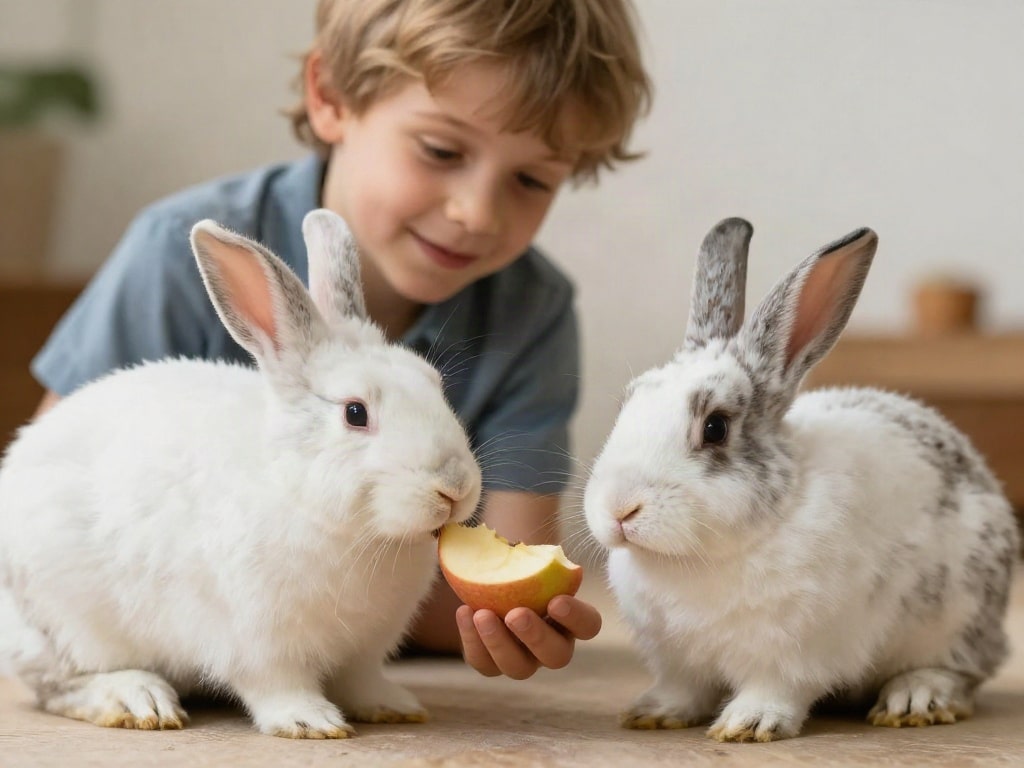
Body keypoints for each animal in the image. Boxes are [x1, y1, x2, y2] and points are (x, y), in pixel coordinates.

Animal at [0, 208, 482, 739]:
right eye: (355, 413)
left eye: (435, 385)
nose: (455, 487)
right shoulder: (258, 640)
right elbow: (277, 684)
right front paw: (310, 722)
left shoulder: (364, 648)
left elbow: (361, 681)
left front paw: (392, 706)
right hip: (62, 626)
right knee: (59, 686)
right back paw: (139, 699)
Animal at [583, 217, 1018, 742]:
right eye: (628, 403)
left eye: (715, 427)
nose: (619, 508)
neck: (699, 560)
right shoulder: (677, 659)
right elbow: (683, 689)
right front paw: (653, 713)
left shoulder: (796, 652)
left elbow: (775, 688)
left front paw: (749, 725)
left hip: (958, 617)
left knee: (962, 670)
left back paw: (915, 698)